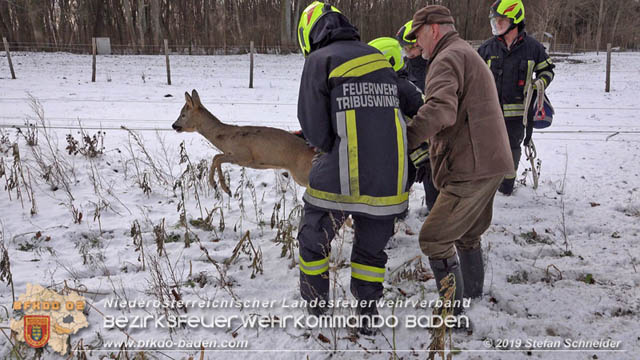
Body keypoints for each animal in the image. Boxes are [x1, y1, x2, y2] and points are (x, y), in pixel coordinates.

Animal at [172, 90, 318, 197]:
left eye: (183, 114)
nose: (174, 125)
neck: (225, 137)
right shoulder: (232, 154)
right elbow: (216, 157)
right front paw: (214, 184)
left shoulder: (244, 156)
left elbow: (217, 159)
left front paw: (225, 189)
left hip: (302, 174)